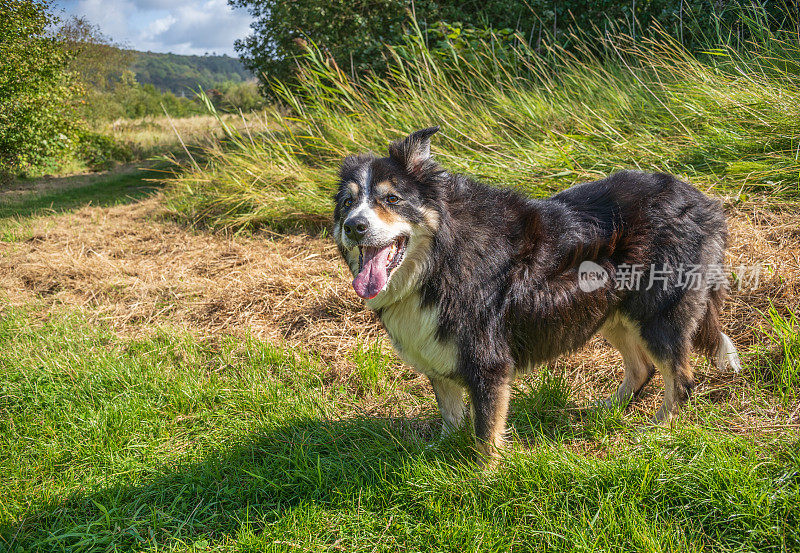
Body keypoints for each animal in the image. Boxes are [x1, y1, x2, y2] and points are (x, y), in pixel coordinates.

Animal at [330, 127, 736, 464]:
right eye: (348, 203)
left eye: (392, 198)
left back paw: (658, 430)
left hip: (658, 314)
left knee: (680, 379)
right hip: (609, 310)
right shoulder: (435, 353)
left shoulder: (489, 363)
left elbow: (485, 432)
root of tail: (703, 201)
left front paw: (483, 476)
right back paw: (604, 411)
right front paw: (441, 449)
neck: (439, 259)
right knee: (643, 368)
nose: (354, 226)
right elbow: (450, 414)